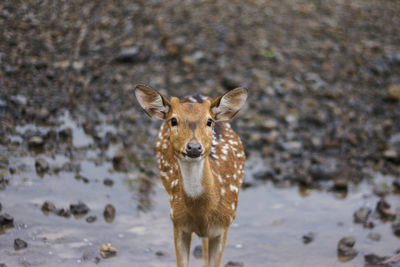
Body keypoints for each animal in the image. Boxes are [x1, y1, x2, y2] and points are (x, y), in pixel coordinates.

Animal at [134, 85, 247, 267]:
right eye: (173, 120)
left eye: (209, 121)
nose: (194, 147)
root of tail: (195, 95)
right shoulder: (177, 221)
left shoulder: (225, 224)